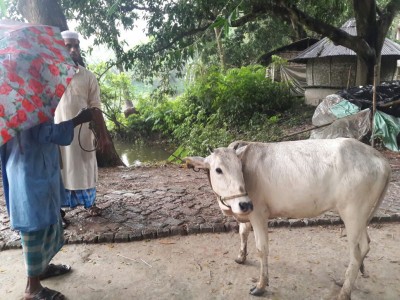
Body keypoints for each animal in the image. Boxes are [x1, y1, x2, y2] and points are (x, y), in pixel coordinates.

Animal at [186, 139, 392, 300]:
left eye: (240, 168)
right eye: (218, 170)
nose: (244, 204)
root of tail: (379, 157)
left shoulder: (258, 213)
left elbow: (261, 249)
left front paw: (261, 286)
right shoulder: (246, 213)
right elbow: (243, 232)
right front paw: (241, 257)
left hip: (352, 213)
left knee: (356, 252)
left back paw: (344, 293)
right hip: (361, 216)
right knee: (365, 245)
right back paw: (345, 281)